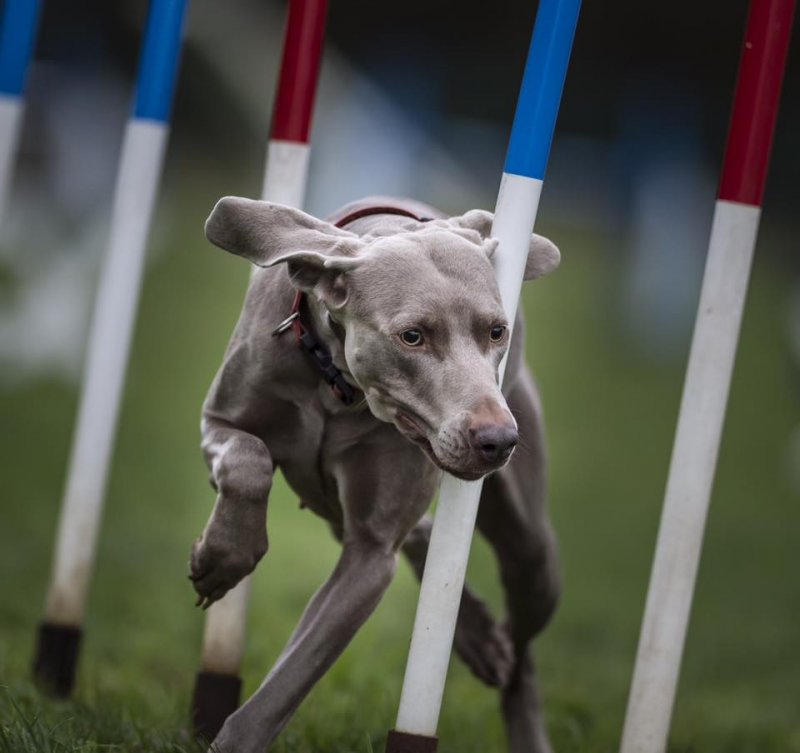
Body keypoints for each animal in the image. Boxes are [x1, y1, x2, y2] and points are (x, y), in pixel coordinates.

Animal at [189, 195, 564, 752]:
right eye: (412, 336)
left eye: (497, 331)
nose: (499, 441)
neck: (333, 384)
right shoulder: (219, 420)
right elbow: (247, 458)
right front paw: (223, 557)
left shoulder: (370, 554)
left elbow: (292, 676)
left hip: (533, 555)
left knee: (522, 653)